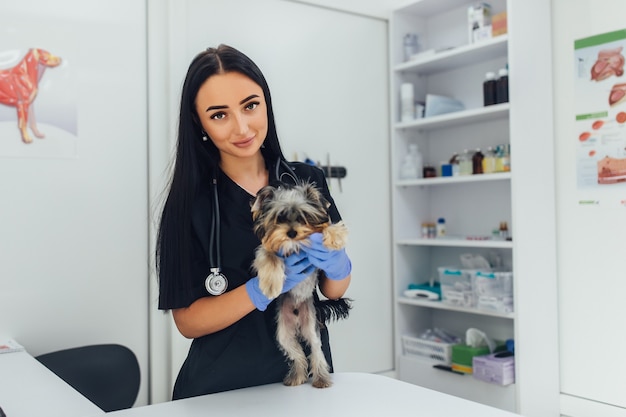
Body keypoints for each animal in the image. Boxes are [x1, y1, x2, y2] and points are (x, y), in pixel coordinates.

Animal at [251, 180, 354, 388]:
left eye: (303, 216)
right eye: (279, 218)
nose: (291, 233)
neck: (295, 246)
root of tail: (297, 315)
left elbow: (324, 228)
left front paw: (335, 235)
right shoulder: (267, 248)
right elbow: (268, 256)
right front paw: (270, 284)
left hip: (311, 325)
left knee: (315, 349)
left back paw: (321, 379)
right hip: (283, 332)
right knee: (297, 353)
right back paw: (297, 376)